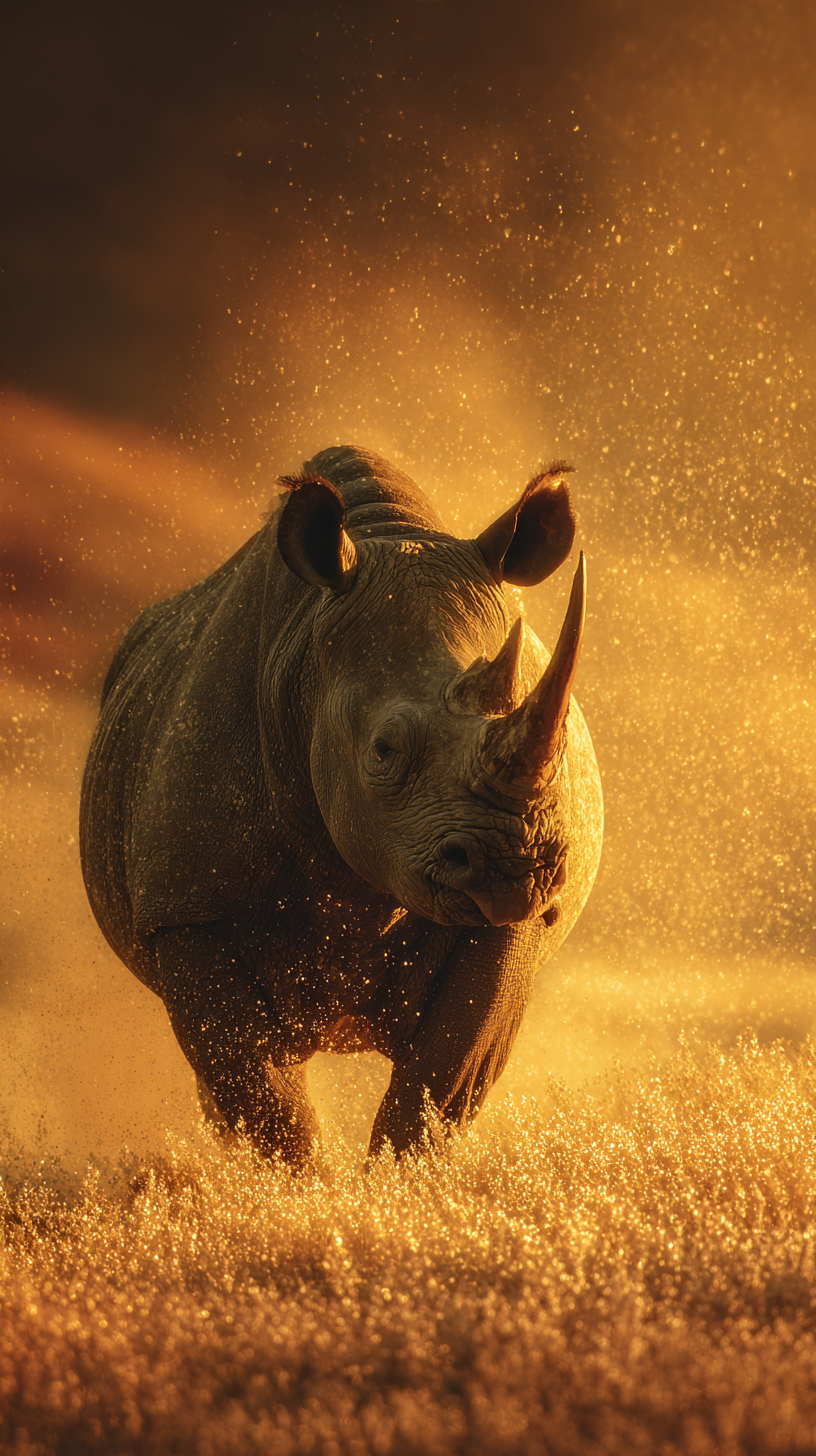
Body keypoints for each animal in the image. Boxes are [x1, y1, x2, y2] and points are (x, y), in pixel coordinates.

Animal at [80, 446, 603, 1165]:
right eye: (383, 750)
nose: (513, 864)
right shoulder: (187, 906)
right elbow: (263, 1095)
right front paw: (302, 1188)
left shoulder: (515, 918)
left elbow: (441, 1082)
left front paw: (396, 1183)